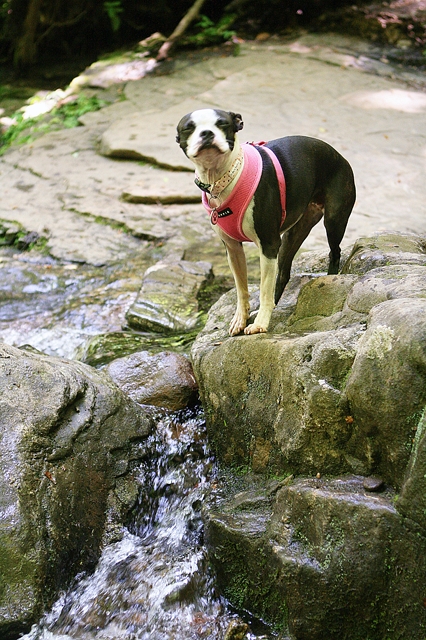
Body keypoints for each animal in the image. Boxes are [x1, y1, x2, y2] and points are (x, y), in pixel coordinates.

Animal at [176, 109, 356, 336]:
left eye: (222, 123)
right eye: (189, 128)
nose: (207, 133)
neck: (223, 177)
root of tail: (339, 155)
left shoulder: (268, 244)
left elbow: (263, 288)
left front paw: (260, 323)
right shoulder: (233, 249)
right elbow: (241, 289)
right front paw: (240, 319)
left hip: (333, 220)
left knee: (335, 252)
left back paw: (330, 278)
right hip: (292, 236)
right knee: (284, 273)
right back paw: (277, 305)